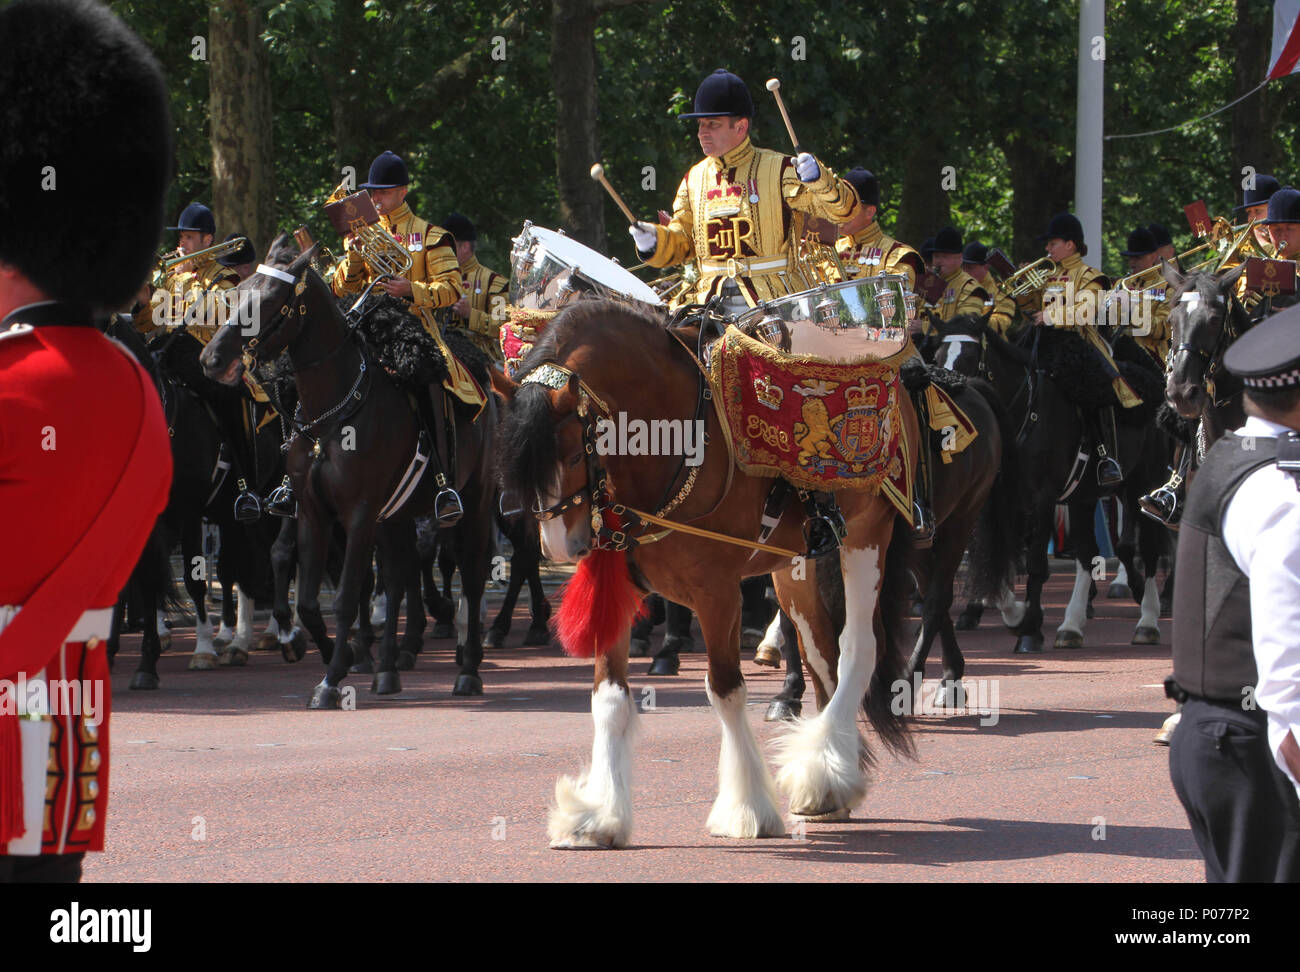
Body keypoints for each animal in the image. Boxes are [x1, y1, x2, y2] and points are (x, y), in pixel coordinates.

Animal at [198, 237, 496, 706]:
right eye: (239, 291)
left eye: (271, 298)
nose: (212, 359)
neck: (333, 413)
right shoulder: (313, 511)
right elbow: (309, 599)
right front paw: (329, 652)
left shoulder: (357, 513)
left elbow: (344, 595)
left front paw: (332, 678)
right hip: (397, 514)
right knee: (400, 574)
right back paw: (390, 668)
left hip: (477, 499)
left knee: (471, 570)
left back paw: (467, 670)